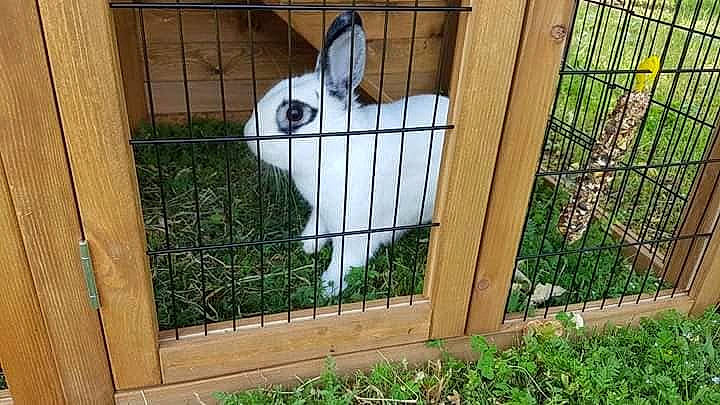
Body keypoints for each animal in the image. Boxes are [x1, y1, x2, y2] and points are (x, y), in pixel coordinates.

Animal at [244, 11, 449, 295]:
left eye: (294, 114)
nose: (247, 134)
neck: (336, 149)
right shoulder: (321, 210)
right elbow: (317, 225)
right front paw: (308, 244)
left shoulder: (355, 229)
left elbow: (346, 259)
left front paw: (327, 287)